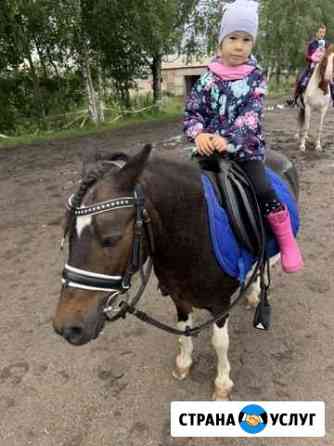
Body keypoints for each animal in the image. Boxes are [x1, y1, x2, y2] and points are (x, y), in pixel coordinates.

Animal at [53, 146, 298, 400]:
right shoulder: (179, 297)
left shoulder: (220, 304)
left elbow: (220, 342)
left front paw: (222, 384)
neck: (195, 235)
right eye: (68, 232)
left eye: (111, 237)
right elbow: (184, 330)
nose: (67, 328)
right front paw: (183, 363)